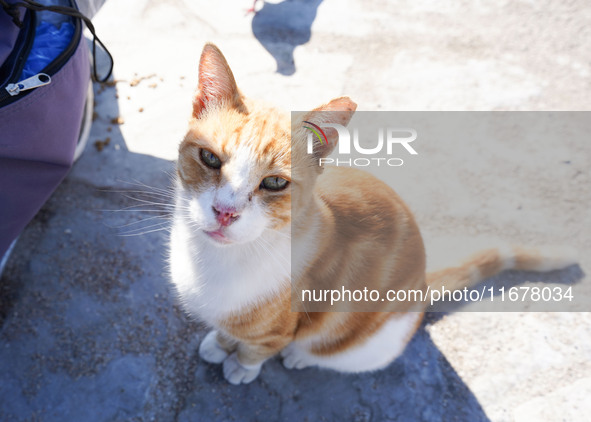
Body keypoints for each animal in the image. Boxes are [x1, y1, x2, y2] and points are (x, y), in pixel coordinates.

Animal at [169, 43, 576, 386]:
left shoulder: (280, 328)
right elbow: (229, 332)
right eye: (210, 159)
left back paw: (300, 357)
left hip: (371, 344)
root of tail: (422, 286)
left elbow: (259, 347)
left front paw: (241, 366)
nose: (225, 212)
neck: (214, 261)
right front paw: (220, 344)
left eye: (273, 183)